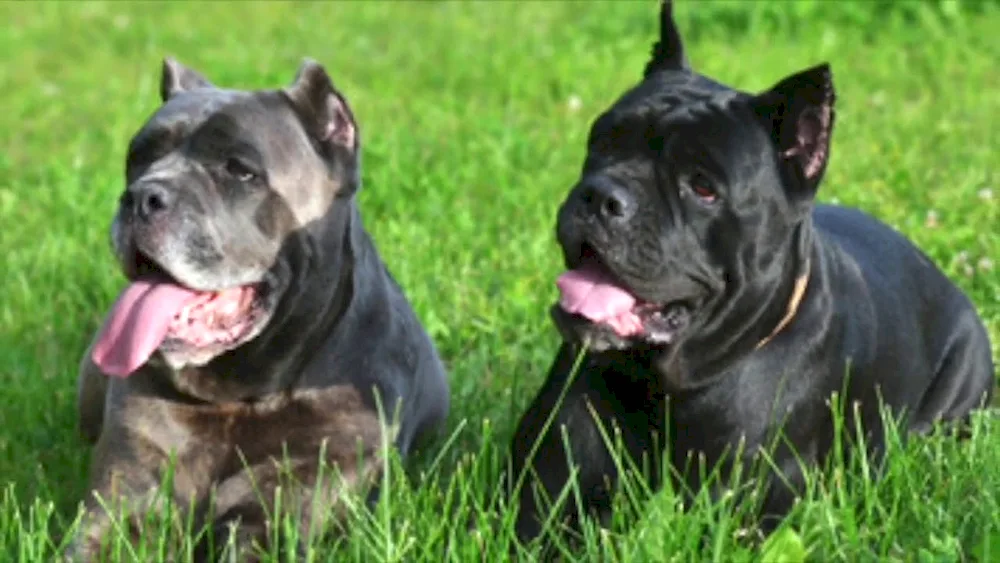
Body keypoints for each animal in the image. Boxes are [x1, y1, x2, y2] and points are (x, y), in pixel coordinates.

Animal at [70, 56, 446, 560]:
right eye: (139, 157)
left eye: (240, 171)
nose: (141, 196)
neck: (241, 395)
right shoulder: (122, 503)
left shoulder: (286, 504)